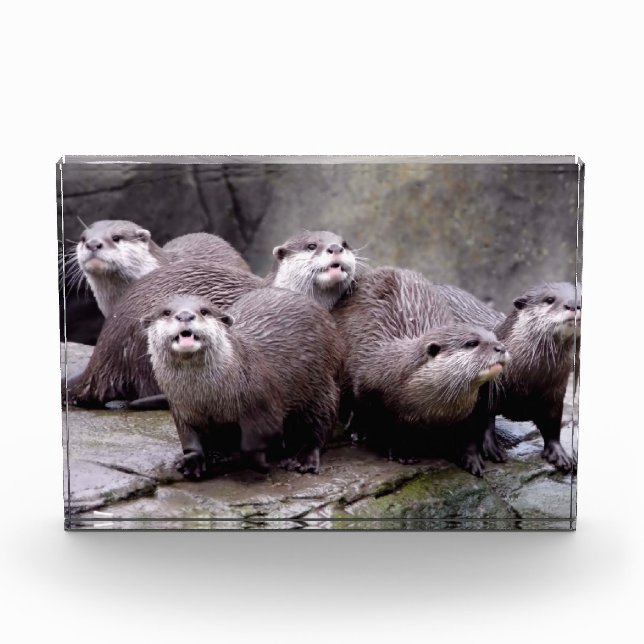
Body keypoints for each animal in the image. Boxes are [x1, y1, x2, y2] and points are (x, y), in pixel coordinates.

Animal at [146, 290, 343, 478]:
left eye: (204, 311)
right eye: (166, 312)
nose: (185, 315)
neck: (206, 397)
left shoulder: (262, 401)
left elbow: (253, 442)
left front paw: (261, 465)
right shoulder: (182, 408)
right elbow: (189, 438)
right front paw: (192, 462)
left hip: (320, 386)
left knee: (320, 425)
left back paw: (303, 460)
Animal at [334, 268, 507, 475]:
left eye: (495, 338)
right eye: (472, 343)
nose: (501, 348)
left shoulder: (471, 408)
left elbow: (468, 434)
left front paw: (472, 459)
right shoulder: (371, 390)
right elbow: (383, 426)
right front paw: (400, 451)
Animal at [436, 281, 581, 471]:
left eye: (581, 296)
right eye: (549, 299)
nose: (574, 304)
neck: (529, 377)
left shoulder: (555, 390)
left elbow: (552, 422)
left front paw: (559, 453)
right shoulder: (488, 386)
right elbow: (484, 417)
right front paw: (491, 447)